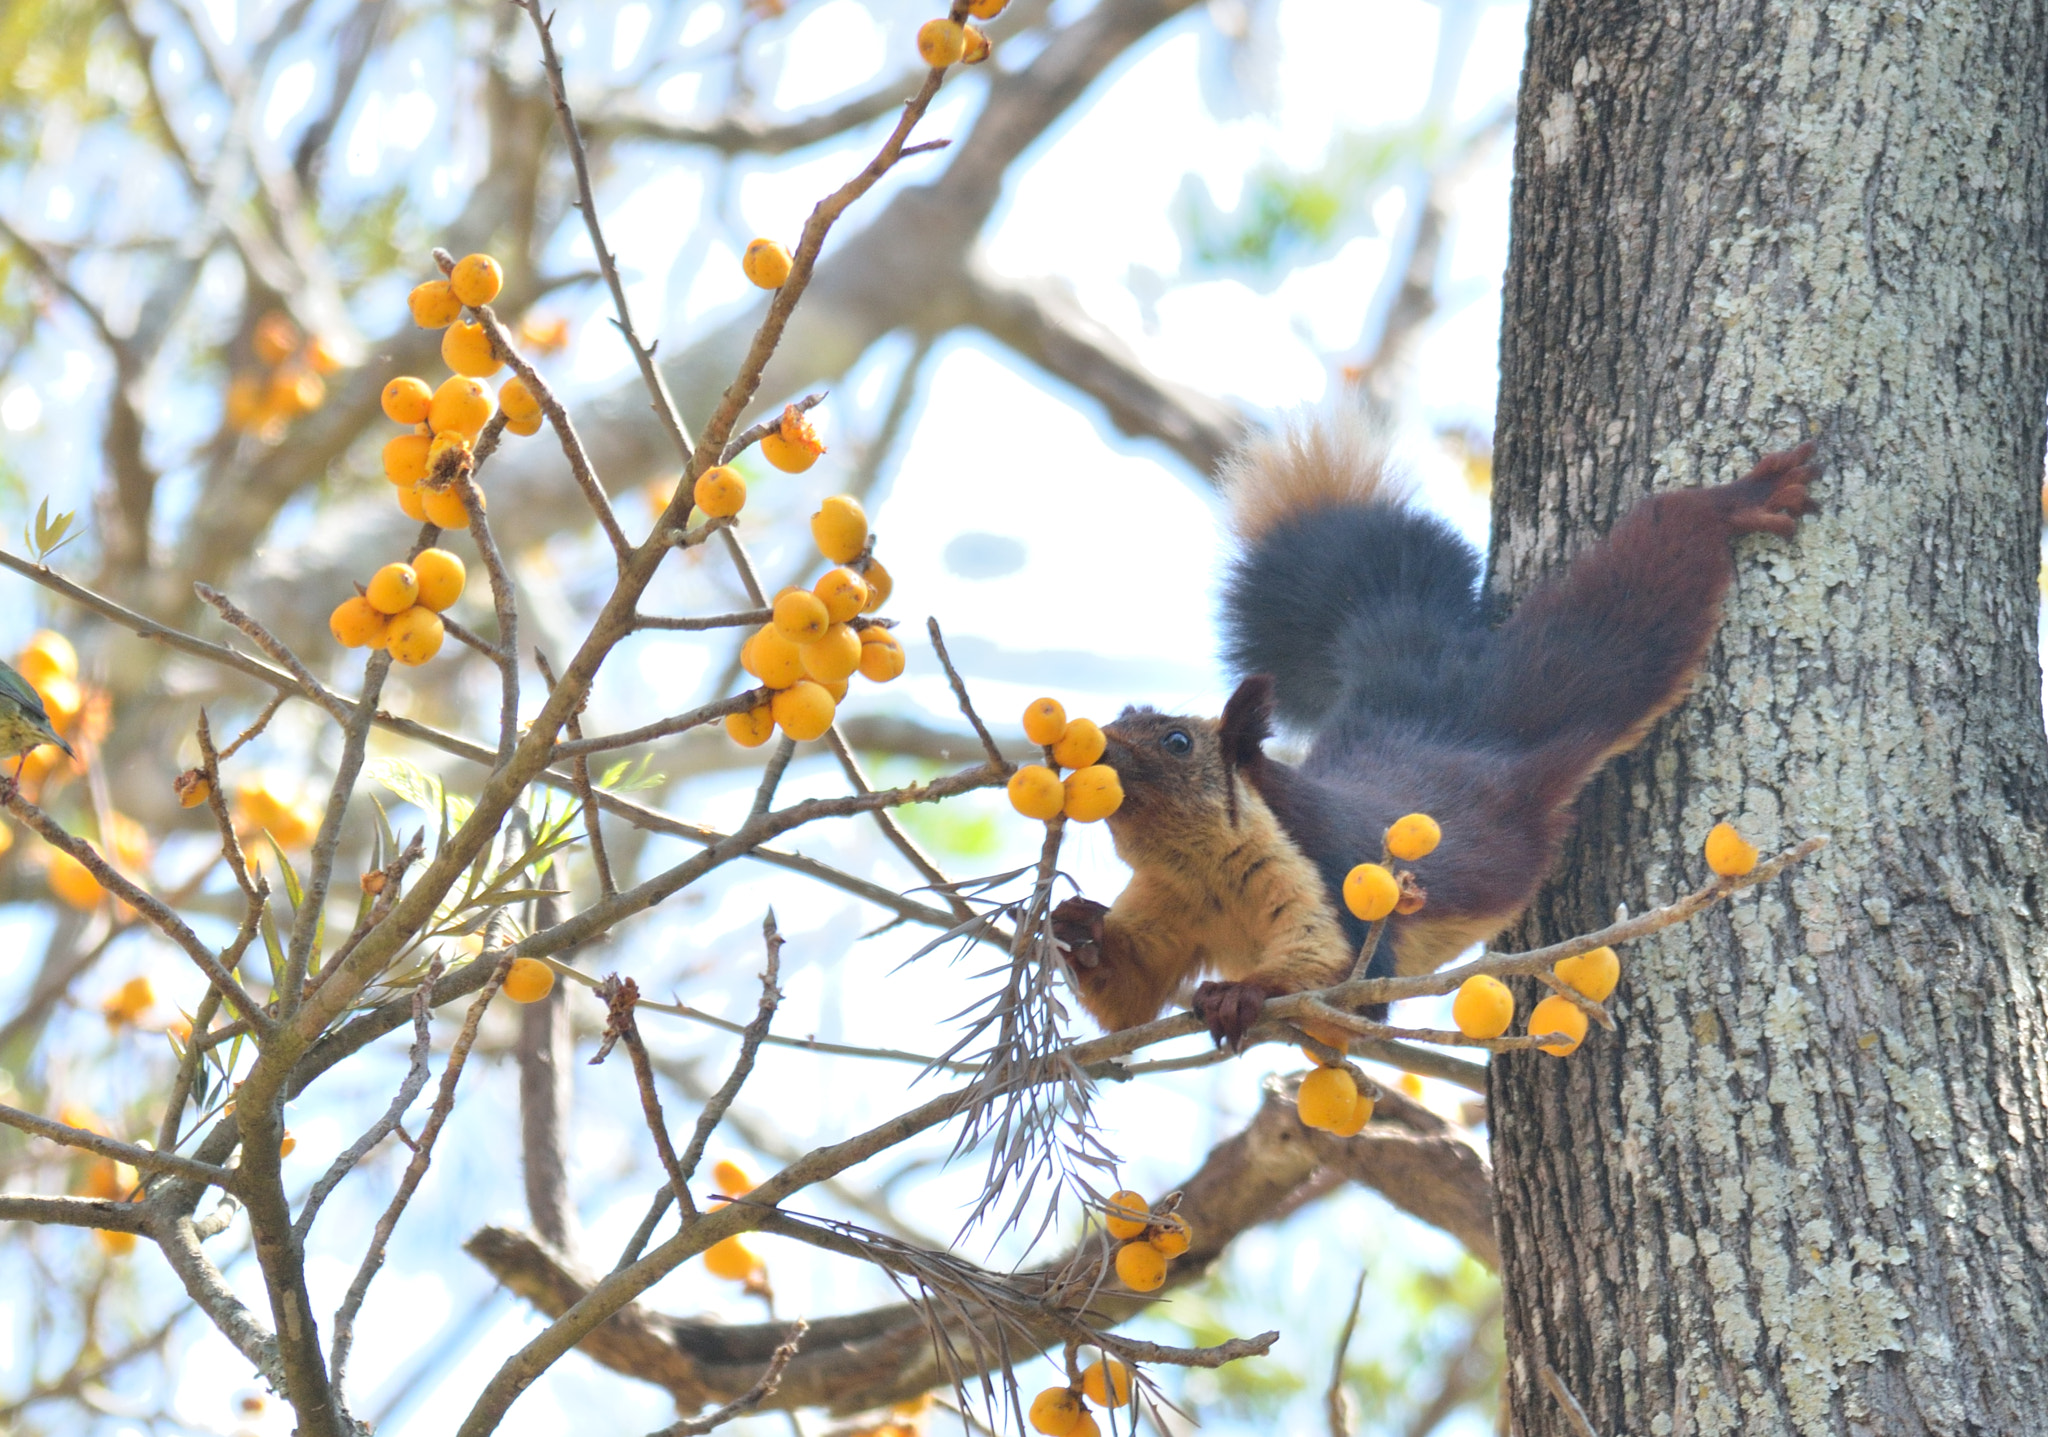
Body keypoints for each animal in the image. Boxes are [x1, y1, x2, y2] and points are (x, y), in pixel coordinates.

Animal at [1048, 417, 1818, 1048]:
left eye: (1177, 742)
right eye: (1119, 722)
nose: (1097, 747)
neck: (1206, 875)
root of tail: (1417, 685)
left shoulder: (1326, 876)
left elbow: (1345, 986)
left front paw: (1243, 992)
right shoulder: (1169, 902)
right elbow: (1128, 1001)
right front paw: (1076, 924)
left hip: (1575, 678)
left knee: (1646, 582)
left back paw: (1737, 499)